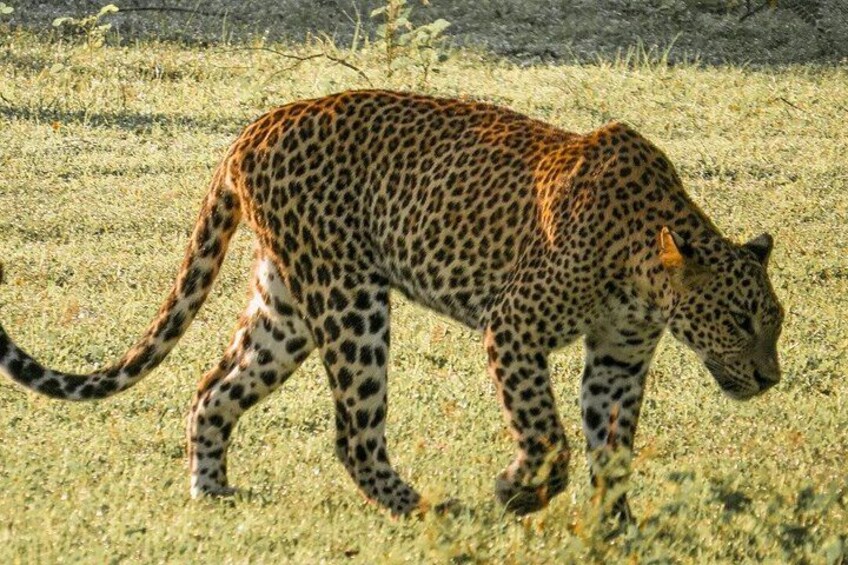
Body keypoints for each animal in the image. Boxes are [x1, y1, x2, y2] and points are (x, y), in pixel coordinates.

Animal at [0, 90, 784, 521]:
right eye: (741, 321)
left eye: (773, 325)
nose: (770, 378)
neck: (648, 272)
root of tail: (254, 127)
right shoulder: (514, 328)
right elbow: (549, 434)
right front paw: (519, 491)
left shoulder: (619, 359)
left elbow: (611, 446)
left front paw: (616, 524)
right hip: (351, 301)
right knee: (353, 432)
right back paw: (423, 508)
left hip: (288, 304)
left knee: (214, 386)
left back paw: (211, 491)